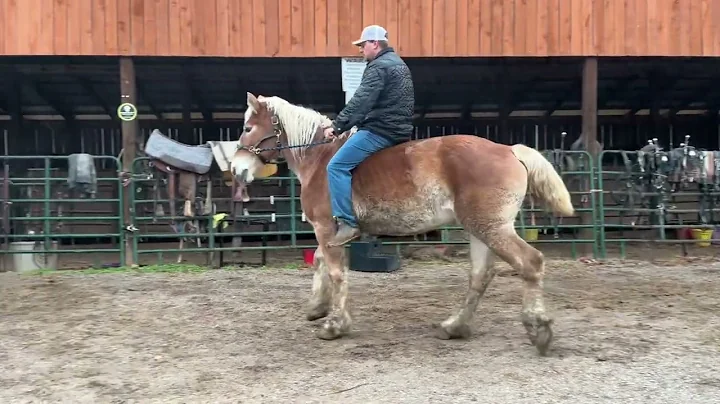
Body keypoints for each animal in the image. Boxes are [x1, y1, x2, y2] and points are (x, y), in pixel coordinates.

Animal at [232, 92, 575, 356]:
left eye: (248, 127)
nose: (236, 168)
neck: (320, 158)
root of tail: (508, 150)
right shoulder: (329, 233)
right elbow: (319, 262)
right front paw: (317, 306)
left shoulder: (326, 229)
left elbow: (336, 273)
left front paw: (335, 325)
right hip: (481, 230)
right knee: (481, 276)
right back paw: (455, 326)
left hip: (492, 229)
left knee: (530, 263)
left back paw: (538, 330)